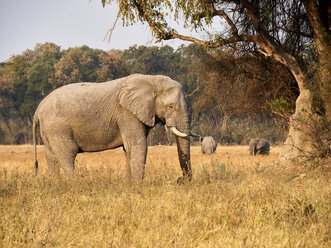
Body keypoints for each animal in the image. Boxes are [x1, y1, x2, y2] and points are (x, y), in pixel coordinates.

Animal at [32, 73, 193, 182]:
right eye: (170, 107)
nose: (180, 180)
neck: (151, 80)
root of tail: (38, 109)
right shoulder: (127, 113)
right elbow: (138, 145)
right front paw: (138, 187)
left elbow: (129, 149)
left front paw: (129, 186)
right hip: (57, 127)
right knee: (67, 154)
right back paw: (75, 185)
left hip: (49, 129)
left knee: (51, 157)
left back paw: (57, 185)